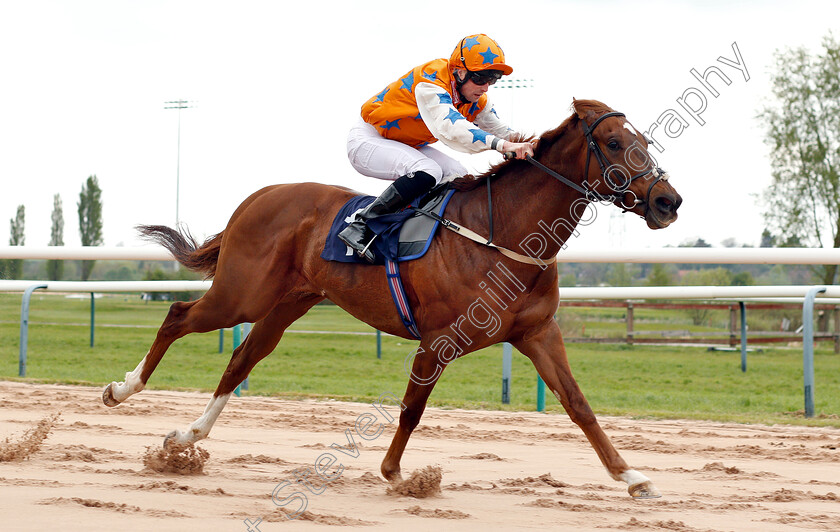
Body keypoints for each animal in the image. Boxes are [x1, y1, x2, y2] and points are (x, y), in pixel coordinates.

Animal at [103, 98, 684, 498]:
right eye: (614, 144)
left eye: (647, 142)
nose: (668, 201)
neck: (505, 235)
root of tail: (259, 196)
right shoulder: (440, 339)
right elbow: (411, 408)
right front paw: (397, 474)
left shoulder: (537, 332)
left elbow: (579, 404)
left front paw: (634, 477)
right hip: (241, 295)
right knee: (178, 316)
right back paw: (122, 389)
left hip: (287, 303)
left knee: (242, 357)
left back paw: (186, 436)